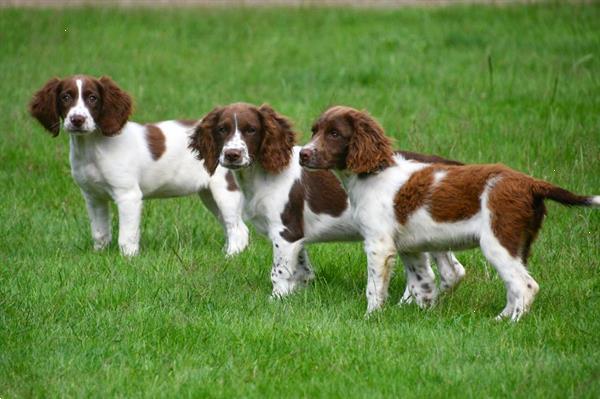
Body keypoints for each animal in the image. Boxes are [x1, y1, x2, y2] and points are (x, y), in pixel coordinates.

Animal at [27, 75, 248, 258]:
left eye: (92, 98)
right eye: (65, 97)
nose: (77, 120)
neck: (92, 147)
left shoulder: (128, 195)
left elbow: (127, 236)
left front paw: (129, 260)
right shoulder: (93, 197)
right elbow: (99, 232)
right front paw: (99, 254)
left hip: (225, 191)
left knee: (239, 230)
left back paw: (230, 257)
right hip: (208, 195)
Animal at [190, 101, 466, 302]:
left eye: (251, 129)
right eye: (222, 129)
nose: (232, 155)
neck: (262, 174)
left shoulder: (286, 232)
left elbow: (279, 271)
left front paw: (275, 300)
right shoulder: (296, 236)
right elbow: (301, 270)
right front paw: (295, 296)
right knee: (452, 271)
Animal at [298, 106, 596, 322]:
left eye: (335, 134)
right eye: (314, 131)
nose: (303, 155)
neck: (372, 174)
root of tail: (531, 183)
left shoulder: (378, 245)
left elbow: (375, 287)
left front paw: (371, 317)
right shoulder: (410, 247)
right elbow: (422, 283)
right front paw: (418, 312)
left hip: (498, 240)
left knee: (525, 286)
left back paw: (512, 324)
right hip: (518, 244)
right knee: (514, 285)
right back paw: (499, 320)